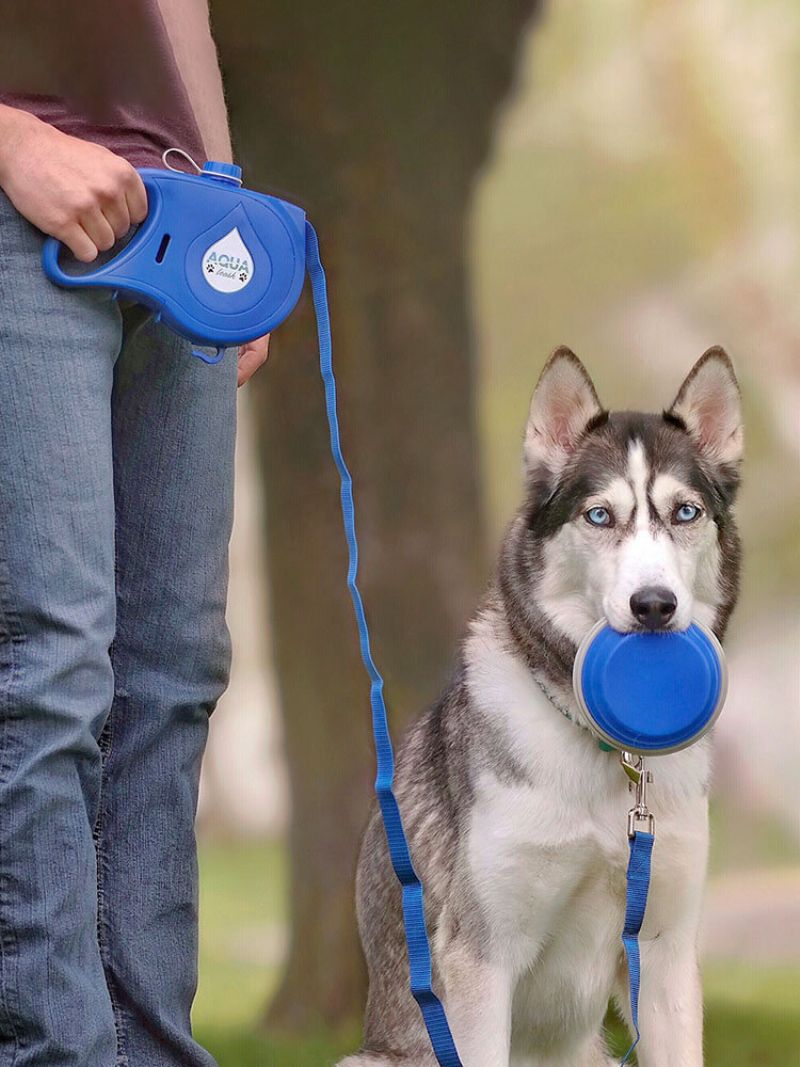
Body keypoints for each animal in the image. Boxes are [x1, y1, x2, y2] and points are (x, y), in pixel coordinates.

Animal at [339, 345, 746, 1062]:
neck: (613, 761)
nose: (654, 606)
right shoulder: (481, 958)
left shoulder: (665, 955)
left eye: (685, 513)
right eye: (600, 515)